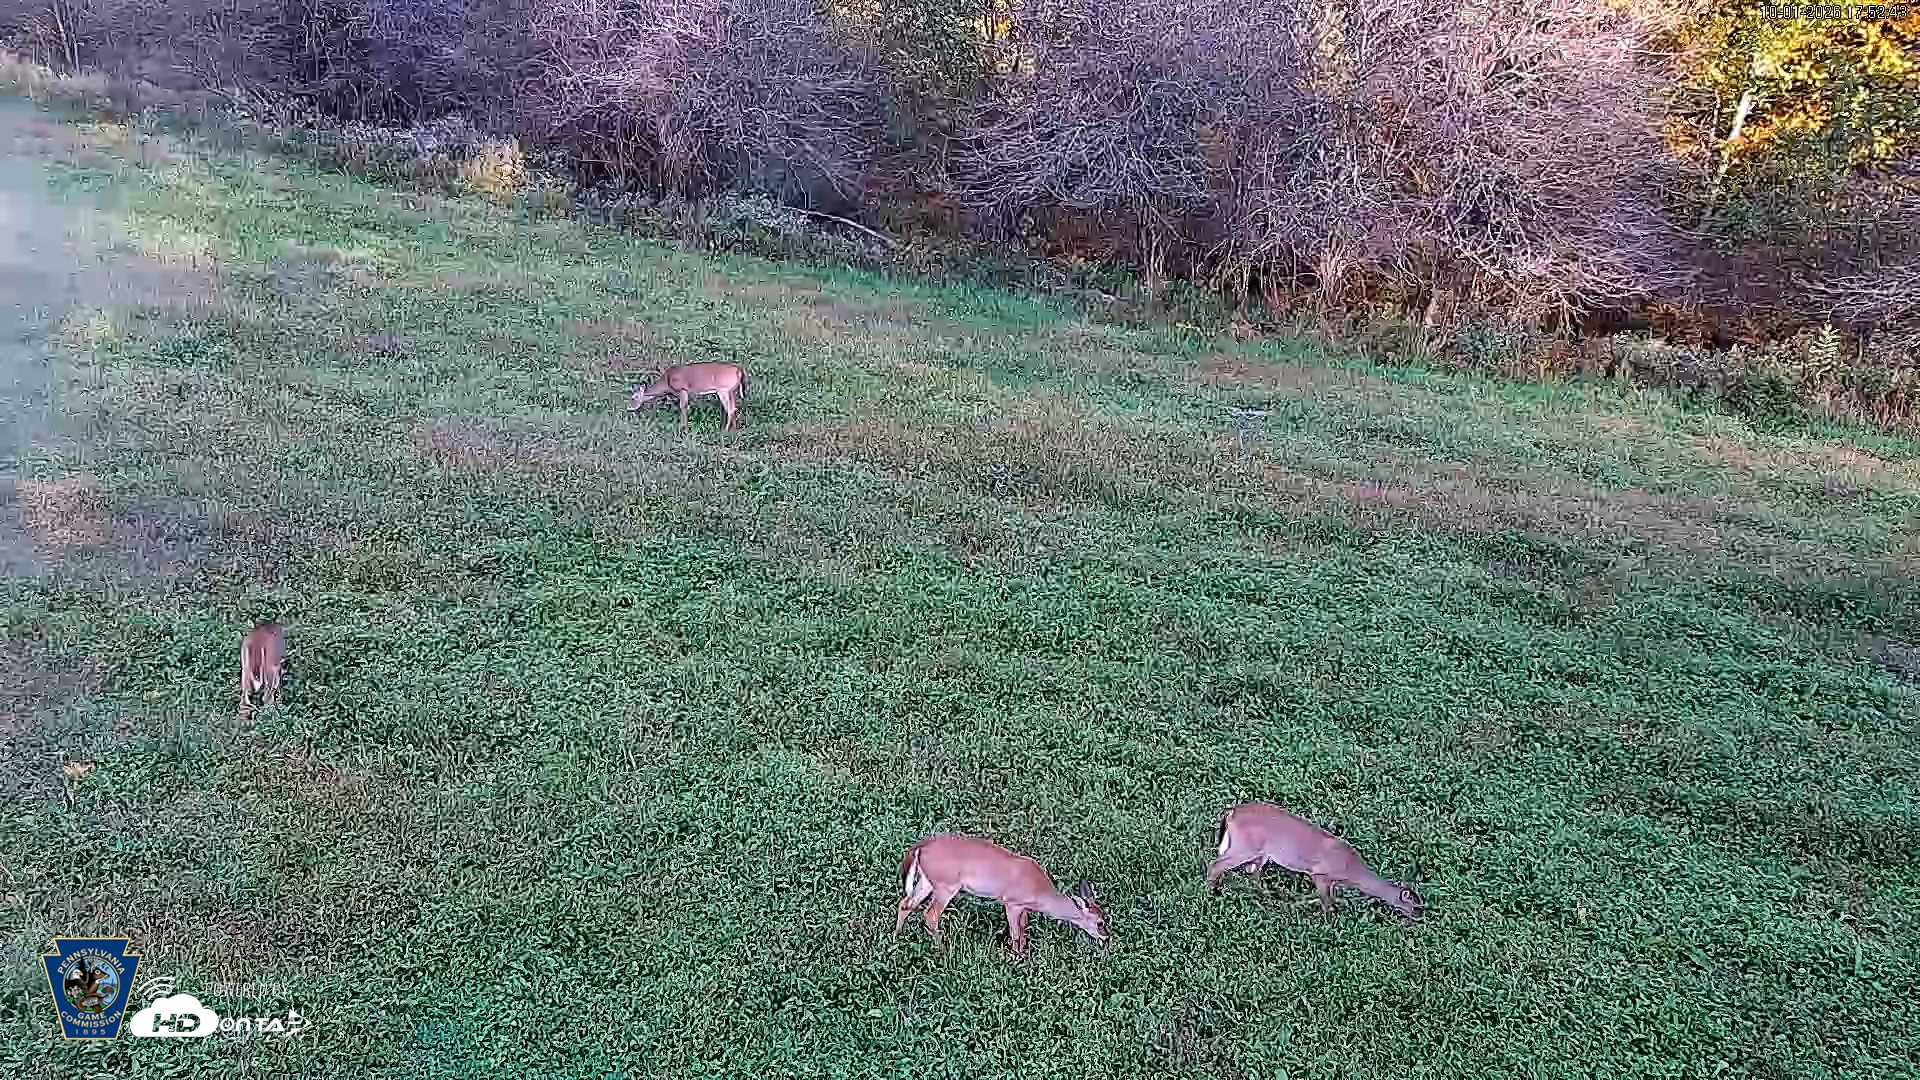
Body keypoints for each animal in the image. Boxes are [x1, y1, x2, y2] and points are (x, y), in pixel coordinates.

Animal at [895, 833, 1110, 956]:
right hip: (946, 885)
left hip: (927, 881)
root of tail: (920, 847)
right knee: (930, 914)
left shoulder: (1023, 907)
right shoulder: (1011, 902)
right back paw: (943, 950)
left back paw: (897, 938)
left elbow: (1023, 929)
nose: (1107, 938)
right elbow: (1015, 933)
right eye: (1100, 922)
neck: (1040, 894)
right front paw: (1016, 958)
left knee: (905, 903)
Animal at [1207, 802, 1423, 918]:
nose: (1421, 915)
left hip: (1260, 852)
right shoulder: (1320, 873)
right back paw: (1211, 893)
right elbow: (1326, 901)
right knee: (1216, 865)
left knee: (1252, 873)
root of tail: (1231, 811)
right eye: (1414, 905)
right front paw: (1330, 923)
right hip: (1245, 846)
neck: (1351, 872)